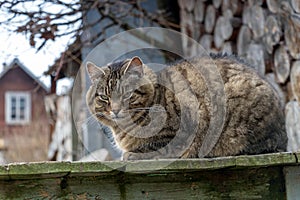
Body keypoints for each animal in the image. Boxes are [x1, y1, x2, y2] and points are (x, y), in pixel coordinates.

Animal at [85, 54, 288, 160]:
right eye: (104, 97)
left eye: (127, 94)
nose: (115, 109)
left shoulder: (177, 131)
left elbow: (153, 147)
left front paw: (131, 154)